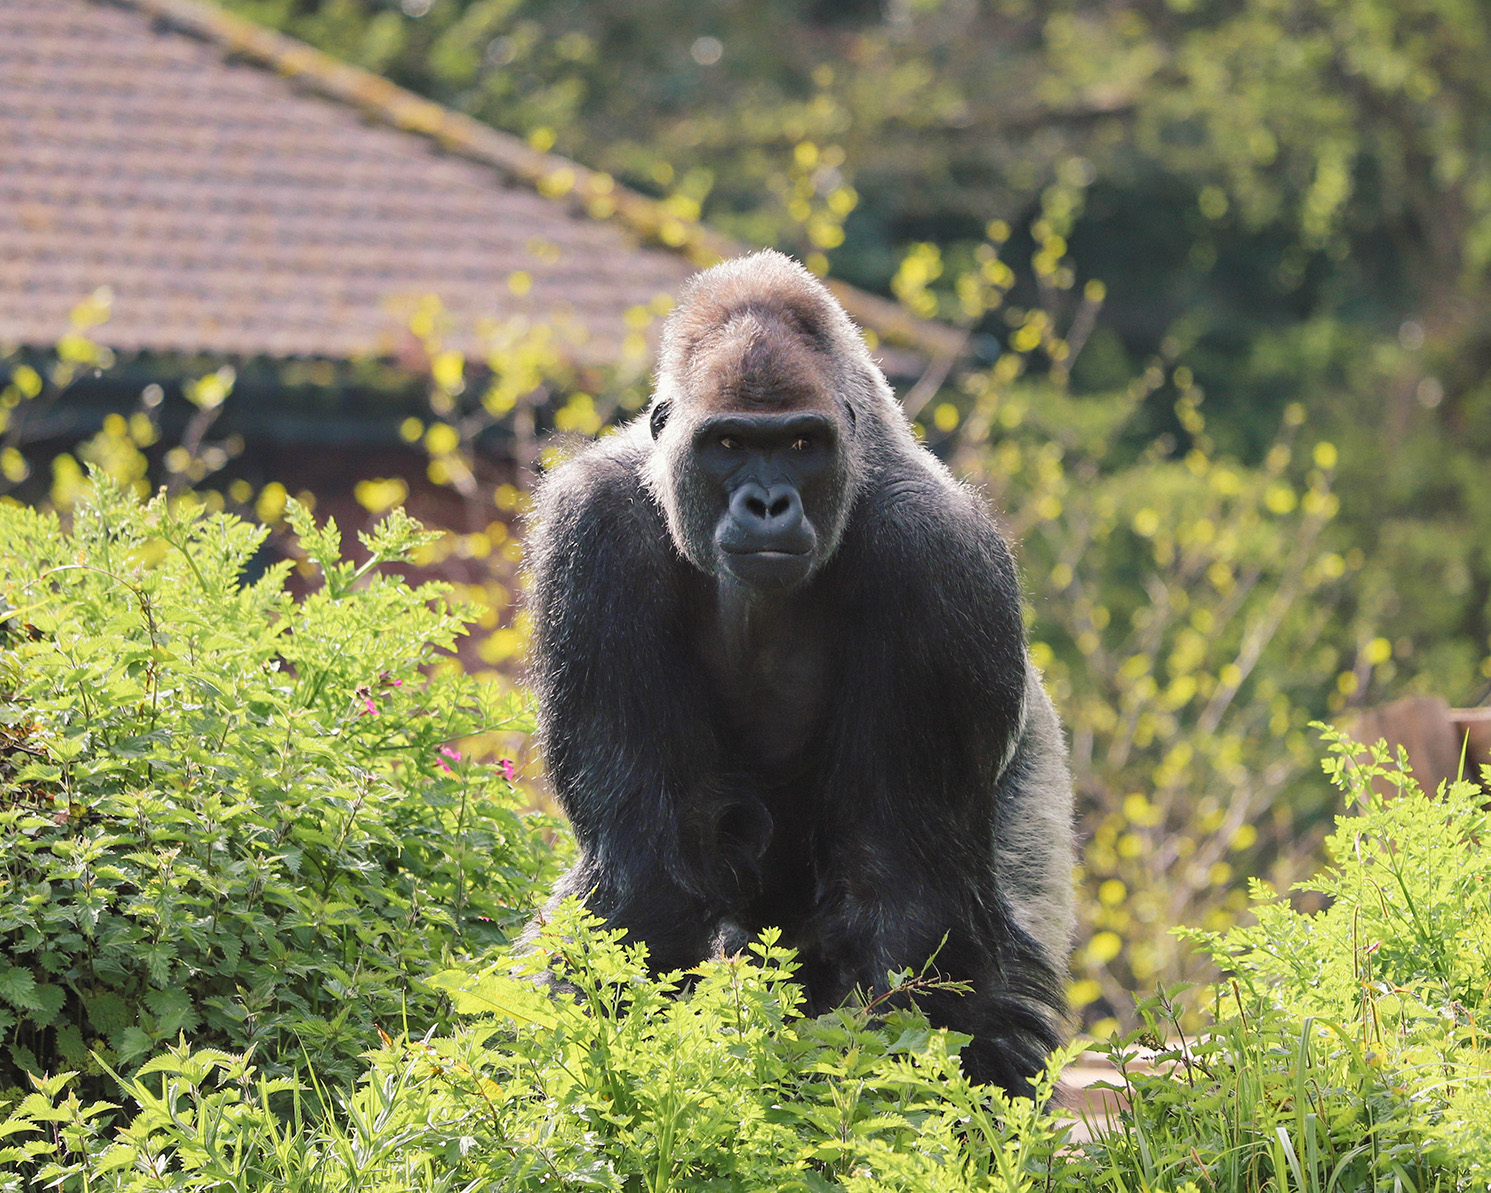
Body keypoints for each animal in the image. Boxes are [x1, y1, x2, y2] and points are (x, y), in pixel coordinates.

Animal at [526, 249, 1075, 1095]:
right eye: (727, 444)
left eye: (799, 445)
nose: (767, 502)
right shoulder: (594, 529)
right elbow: (645, 870)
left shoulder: (938, 557)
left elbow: (906, 904)